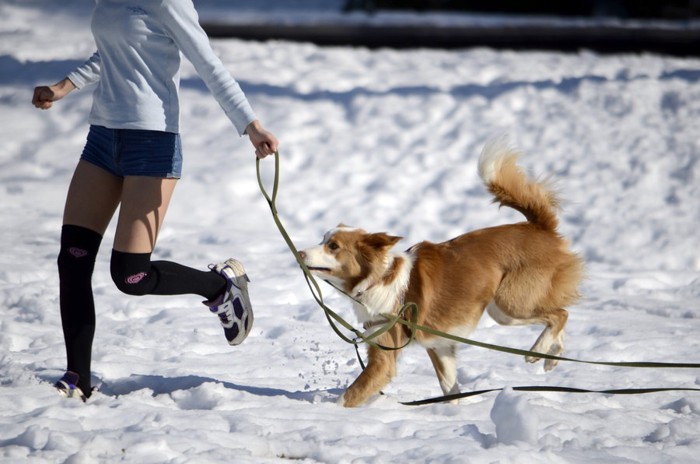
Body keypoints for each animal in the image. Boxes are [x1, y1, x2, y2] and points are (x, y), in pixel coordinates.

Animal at [298, 140, 584, 406]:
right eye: (323, 239)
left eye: (333, 246)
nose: (299, 253)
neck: (378, 280)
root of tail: (539, 227)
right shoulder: (440, 344)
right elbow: (450, 389)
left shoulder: (384, 358)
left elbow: (348, 397)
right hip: (503, 311)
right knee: (558, 315)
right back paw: (551, 358)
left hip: (510, 302)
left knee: (560, 314)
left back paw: (536, 351)